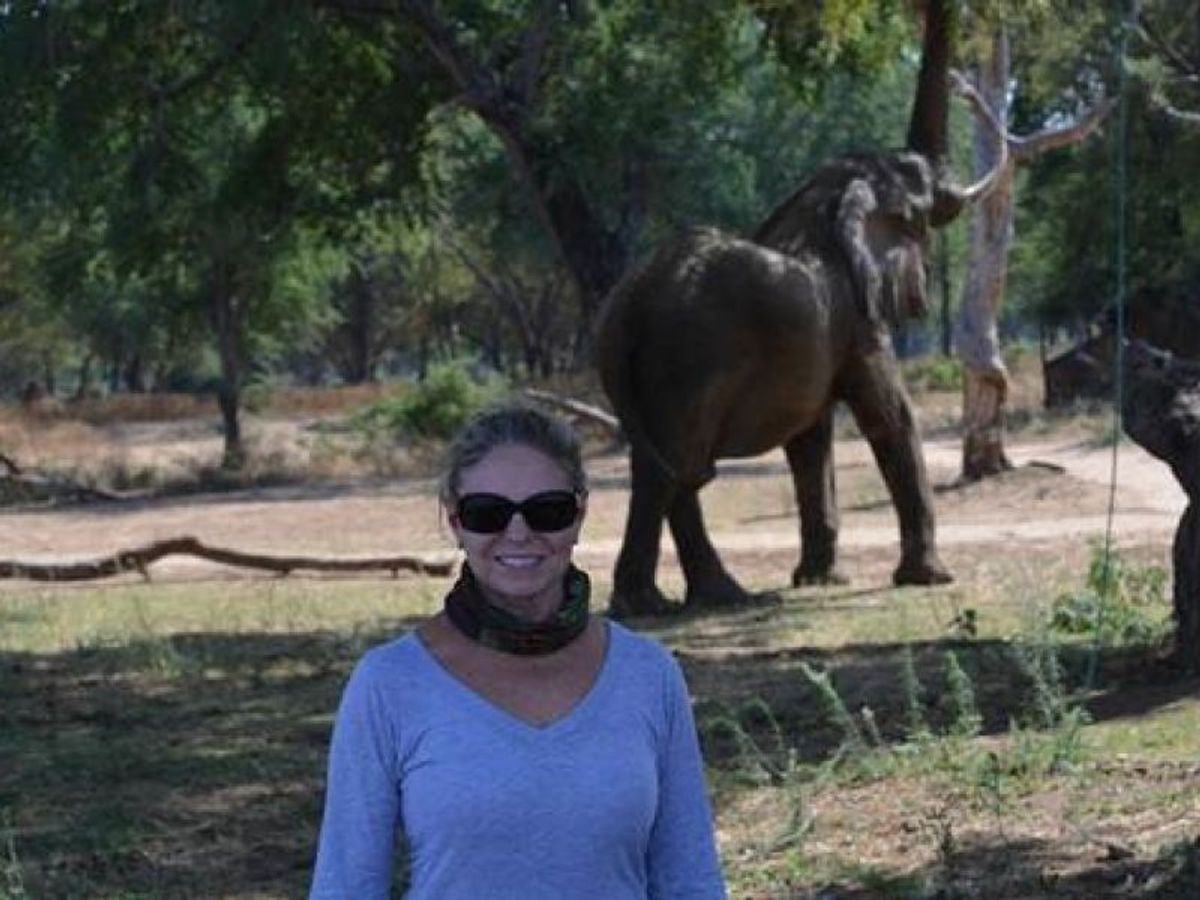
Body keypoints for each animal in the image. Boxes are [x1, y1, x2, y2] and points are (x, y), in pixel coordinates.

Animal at [590, 150, 993, 619]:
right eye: (920, 195)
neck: (829, 202)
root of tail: (630, 300)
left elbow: (810, 443)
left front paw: (822, 581)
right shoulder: (859, 319)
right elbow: (889, 419)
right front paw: (931, 579)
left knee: (663, 466)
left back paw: (686, 600)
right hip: (689, 360)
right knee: (674, 465)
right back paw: (691, 601)